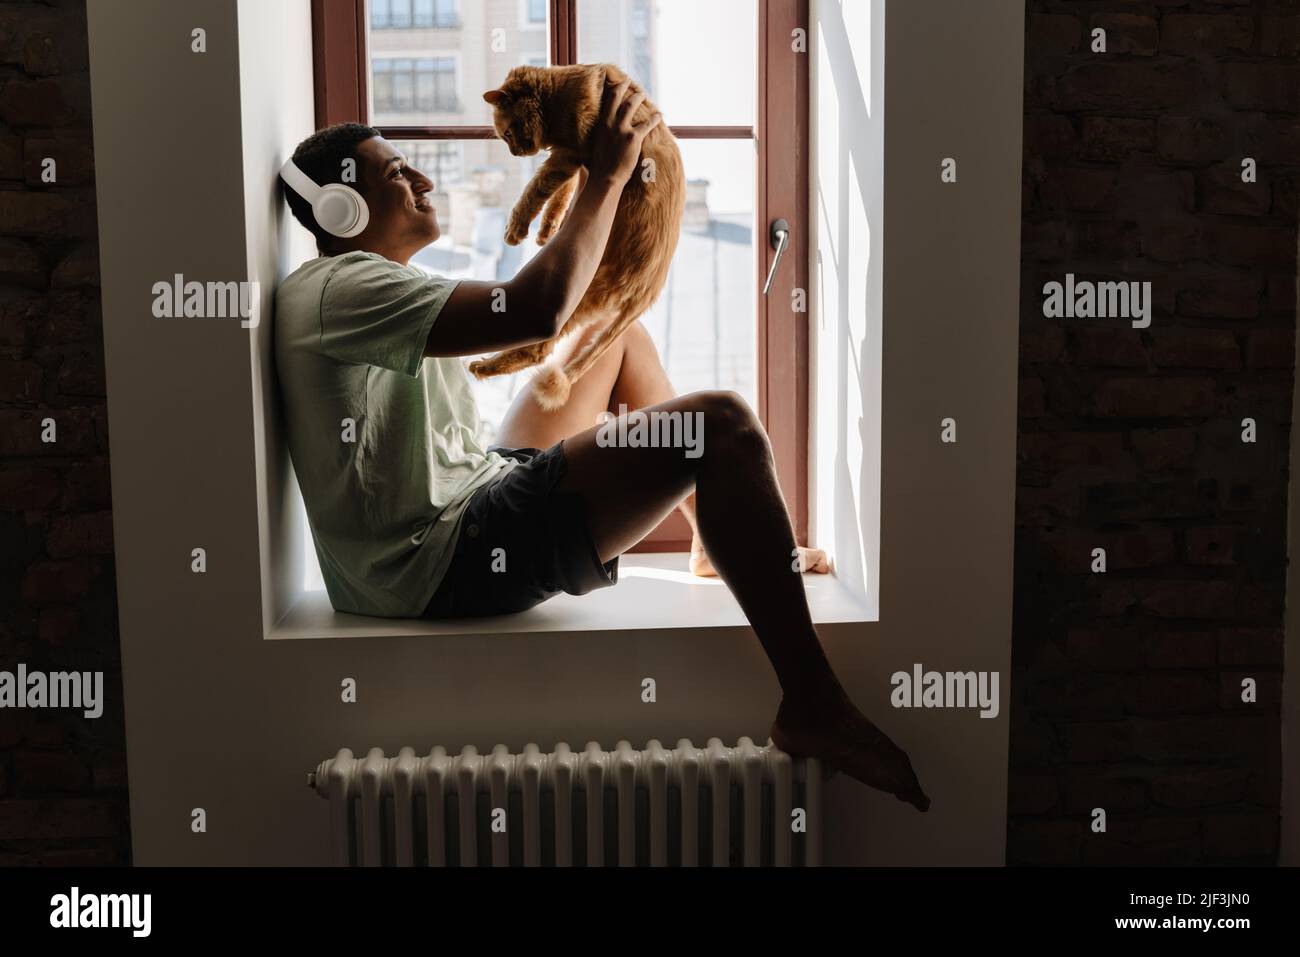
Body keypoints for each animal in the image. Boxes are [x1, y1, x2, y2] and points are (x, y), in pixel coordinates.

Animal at [470, 63, 691, 408]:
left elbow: (537, 190)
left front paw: (516, 229)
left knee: (539, 349)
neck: (558, 92)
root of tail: (651, 289)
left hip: (578, 297)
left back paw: (483, 367)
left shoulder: (567, 156)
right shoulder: (571, 159)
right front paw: (546, 231)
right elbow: (560, 196)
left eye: (507, 135)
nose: (516, 153)